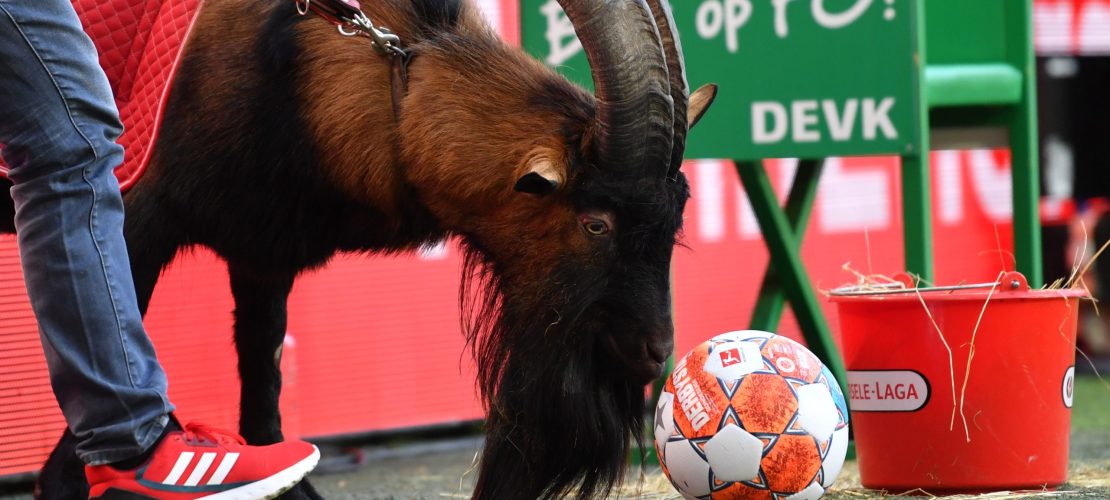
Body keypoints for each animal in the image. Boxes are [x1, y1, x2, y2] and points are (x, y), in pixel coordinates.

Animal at [0, 0, 716, 497]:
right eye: (596, 223)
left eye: (673, 222)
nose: (655, 352)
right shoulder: (139, 213)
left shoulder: (263, 252)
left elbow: (264, 377)